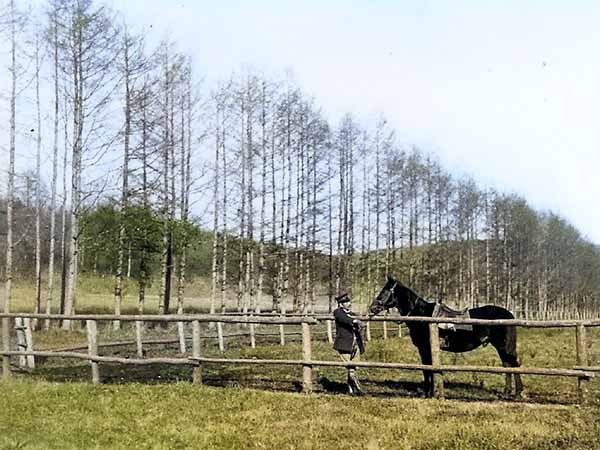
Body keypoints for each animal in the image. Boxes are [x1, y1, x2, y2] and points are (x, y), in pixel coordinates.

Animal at [368, 274, 524, 398]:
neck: (421, 314)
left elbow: (427, 369)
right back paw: (507, 392)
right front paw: (430, 392)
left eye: (384, 291)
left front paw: (428, 393)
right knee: (507, 365)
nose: (372, 308)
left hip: (504, 346)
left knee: (513, 365)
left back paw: (518, 392)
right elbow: (428, 369)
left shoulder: (425, 348)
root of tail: (509, 315)